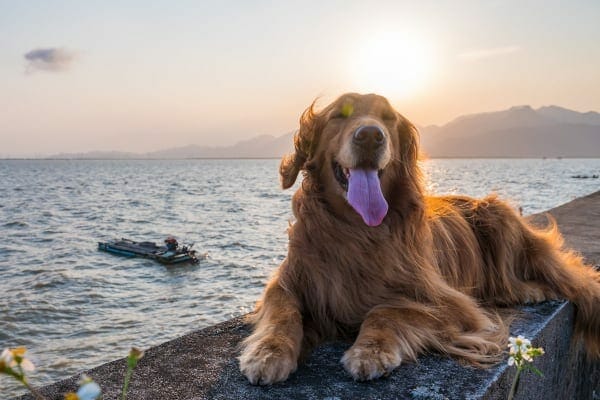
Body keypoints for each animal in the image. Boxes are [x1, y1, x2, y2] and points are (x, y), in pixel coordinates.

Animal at [239, 92, 600, 382]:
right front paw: (268, 353)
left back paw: (530, 290)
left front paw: (369, 350)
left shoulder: (453, 304)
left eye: (388, 118)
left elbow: (386, 310)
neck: (355, 229)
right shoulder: (288, 282)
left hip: (495, 214)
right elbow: (283, 311)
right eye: (338, 115)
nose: (370, 135)